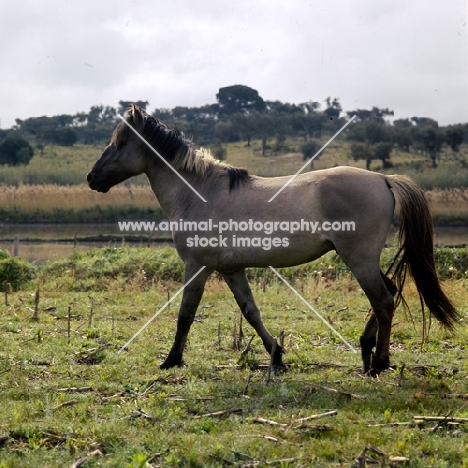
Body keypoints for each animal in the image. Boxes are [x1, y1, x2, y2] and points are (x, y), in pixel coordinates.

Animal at [87, 104, 458, 374]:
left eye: (121, 143)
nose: (91, 178)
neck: (200, 192)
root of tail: (383, 179)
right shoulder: (231, 270)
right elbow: (251, 312)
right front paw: (277, 355)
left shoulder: (198, 267)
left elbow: (185, 315)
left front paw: (171, 360)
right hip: (364, 260)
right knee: (389, 294)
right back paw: (367, 350)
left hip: (360, 259)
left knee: (382, 301)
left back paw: (378, 363)